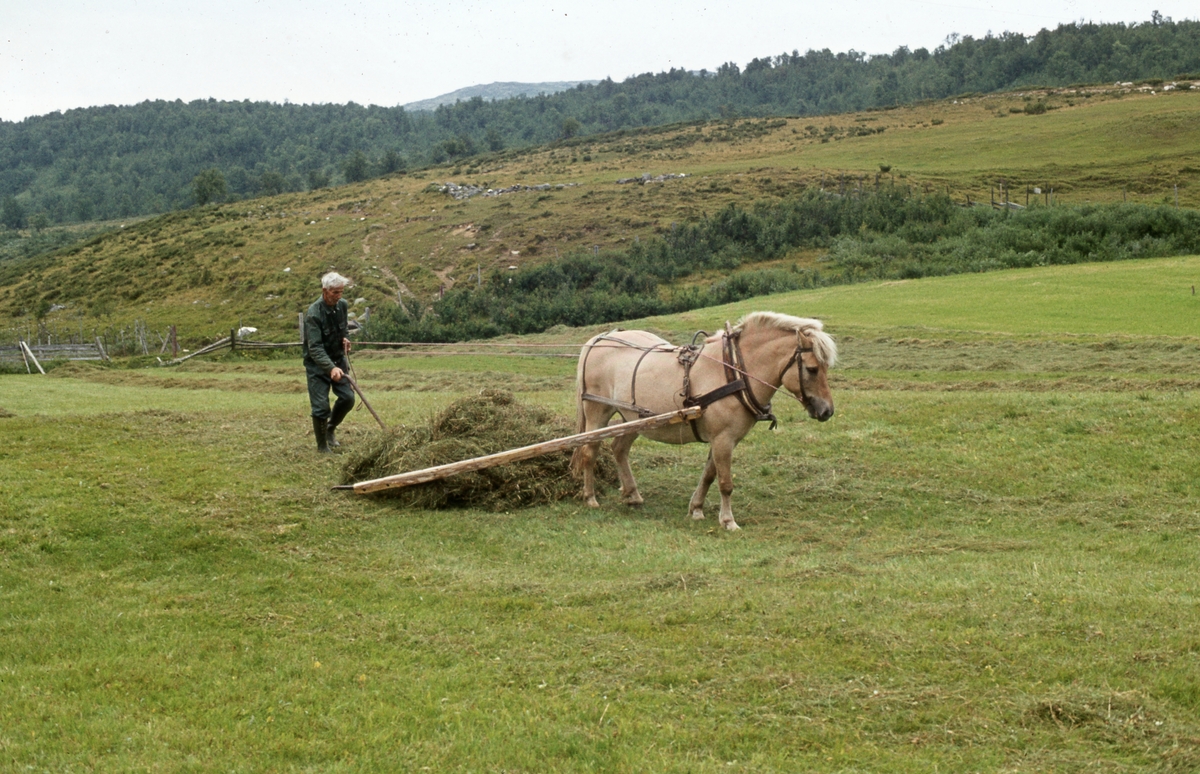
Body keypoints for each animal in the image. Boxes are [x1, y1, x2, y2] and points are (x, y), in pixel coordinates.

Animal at [568, 312, 835, 528]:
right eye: (812, 369)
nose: (827, 411)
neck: (733, 371)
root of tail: (600, 338)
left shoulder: (723, 439)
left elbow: (709, 475)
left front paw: (696, 509)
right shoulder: (723, 439)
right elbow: (725, 482)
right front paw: (728, 521)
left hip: (634, 417)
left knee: (619, 449)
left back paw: (632, 495)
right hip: (597, 411)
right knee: (589, 451)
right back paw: (590, 497)